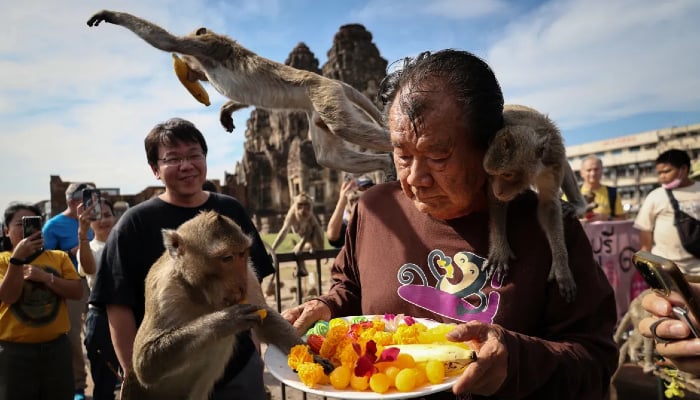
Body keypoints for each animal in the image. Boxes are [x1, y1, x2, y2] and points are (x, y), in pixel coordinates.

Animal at [87, 10, 394, 176]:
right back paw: (385, 164)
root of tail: (334, 81)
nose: (192, 74)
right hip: (318, 111)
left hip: (325, 96)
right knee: (329, 157)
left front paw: (110, 16)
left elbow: (166, 41)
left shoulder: (205, 46)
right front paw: (227, 111)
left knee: (344, 127)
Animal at [121, 211, 330, 398]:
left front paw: (310, 355)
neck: (200, 293)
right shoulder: (163, 290)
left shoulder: (250, 276)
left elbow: (266, 318)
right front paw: (226, 320)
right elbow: (145, 363)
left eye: (242, 254)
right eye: (227, 258)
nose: (240, 286)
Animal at [482, 104, 584, 302]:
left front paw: (560, 265)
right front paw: (499, 249)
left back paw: (578, 204)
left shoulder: (553, 162)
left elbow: (549, 208)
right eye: (491, 174)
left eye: (507, 174)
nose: (499, 190)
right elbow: (496, 201)